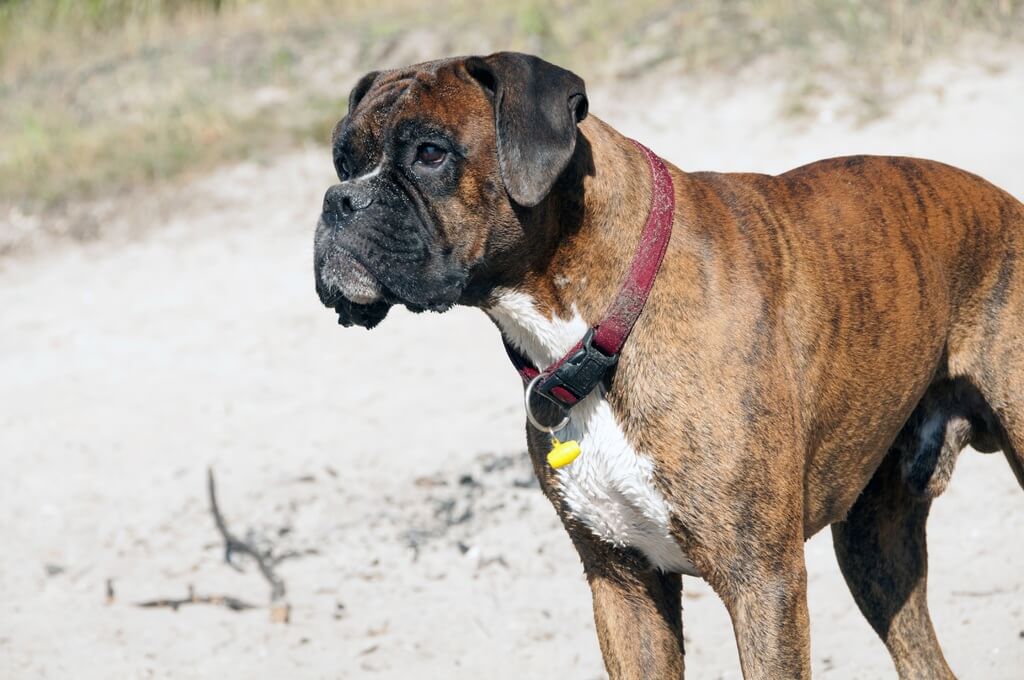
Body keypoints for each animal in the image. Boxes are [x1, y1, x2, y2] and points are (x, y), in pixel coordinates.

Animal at [311, 54, 1024, 680]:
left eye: (430, 153)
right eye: (343, 160)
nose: (338, 201)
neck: (603, 324)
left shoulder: (762, 583)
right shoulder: (623, 586)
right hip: (874, 546)